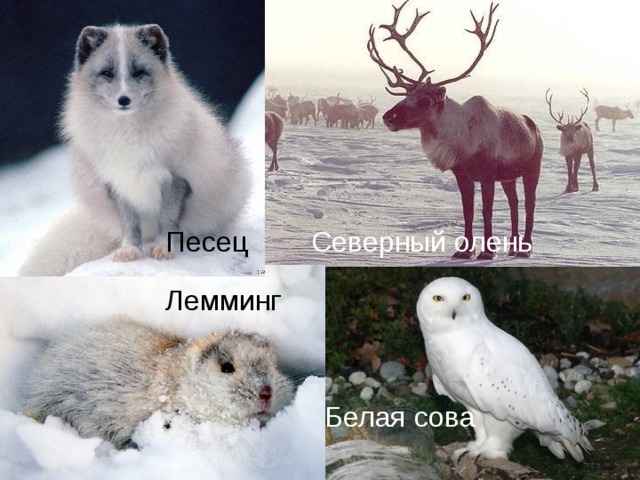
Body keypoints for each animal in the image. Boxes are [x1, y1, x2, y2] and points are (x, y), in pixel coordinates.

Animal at [368, 1, 543, 260]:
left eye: (425, 101)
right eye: (407, 95)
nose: (388, 117)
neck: (462, 136)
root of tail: (534, 126)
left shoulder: (488, 173)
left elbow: (486, 211)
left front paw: (487, 252)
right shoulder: (462, 174)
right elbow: (467, 212)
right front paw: (464, 250)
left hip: (532, 167)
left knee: (529, 203)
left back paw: (526, 250)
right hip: (509, 177)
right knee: (514, 202)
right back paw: (513, 247)